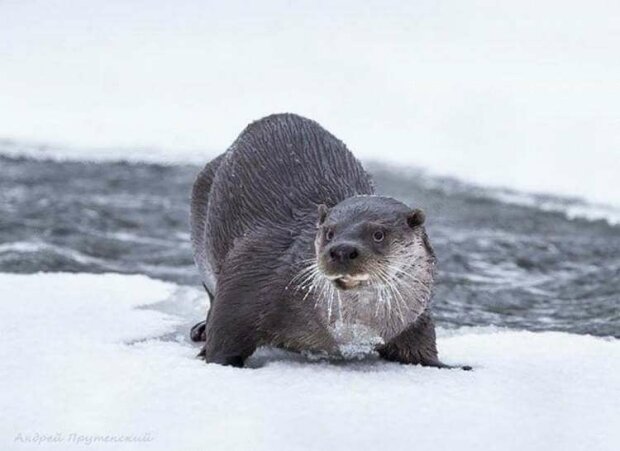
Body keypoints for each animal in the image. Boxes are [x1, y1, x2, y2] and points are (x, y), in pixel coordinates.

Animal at [189, 114, 464, 370]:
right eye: (329, 232)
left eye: (378, 234)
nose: (342, 250)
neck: (350, 332)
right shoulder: (254, 269)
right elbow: (226, 331)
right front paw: (215, 358)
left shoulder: (415, 315)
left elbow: (421, 346)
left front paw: (452, 366)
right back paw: (201, 329)